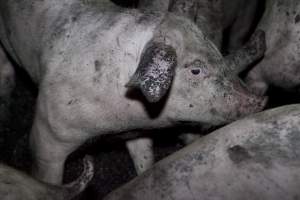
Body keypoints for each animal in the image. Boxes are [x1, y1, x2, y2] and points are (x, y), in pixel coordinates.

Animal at [0, 0, 268, 184]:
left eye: (216, 50)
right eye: (196, 70)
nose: (261, 100)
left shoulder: (137, 132)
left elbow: (144, 158)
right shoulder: (47, 133)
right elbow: (47, 173)